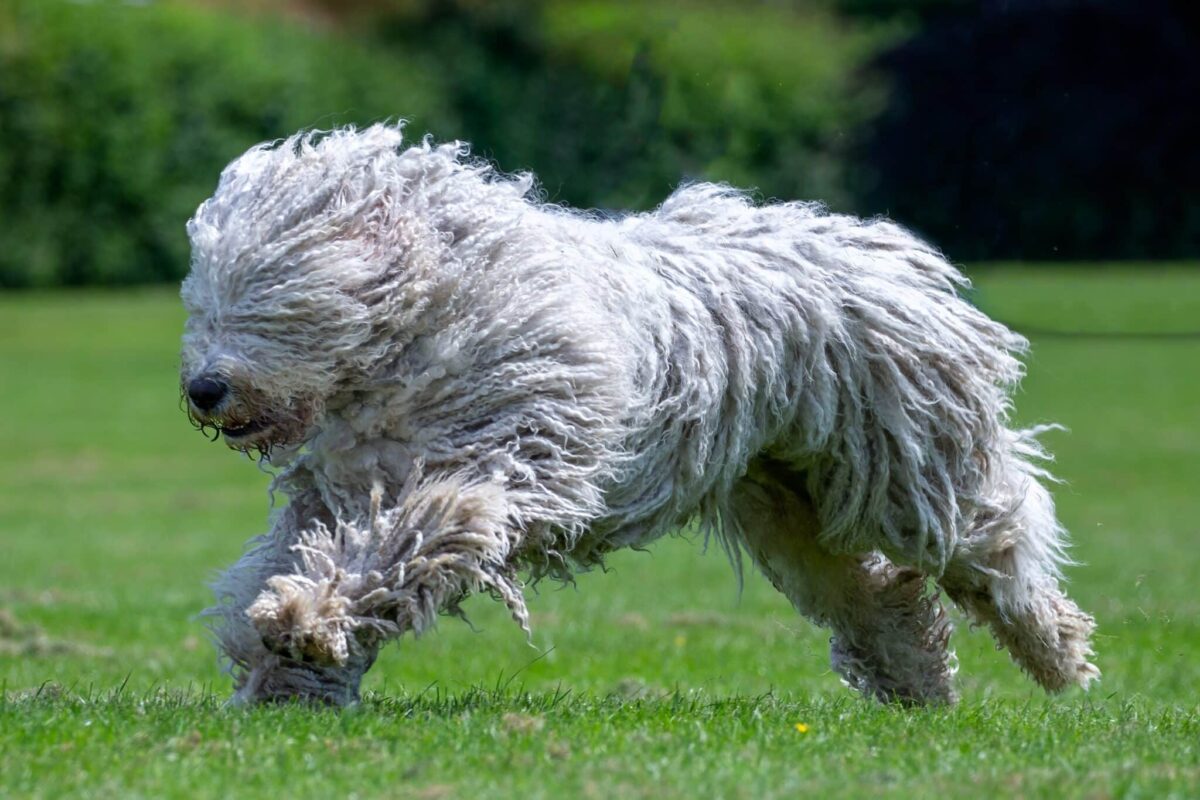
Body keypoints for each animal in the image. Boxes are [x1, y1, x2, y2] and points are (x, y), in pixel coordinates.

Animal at [180, 125, 1099, 705]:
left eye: (273, 301)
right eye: (204, 301)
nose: (203, 390)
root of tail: (892, 256)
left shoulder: (502, 461)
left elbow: (409, 538)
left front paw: (308, 619)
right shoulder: (338, 486)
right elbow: (297, 554)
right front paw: (285, 668)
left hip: (905, 468)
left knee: (995, 541)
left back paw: (1056, 652)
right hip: (786, 496)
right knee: (874, 593)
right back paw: (920, 680)